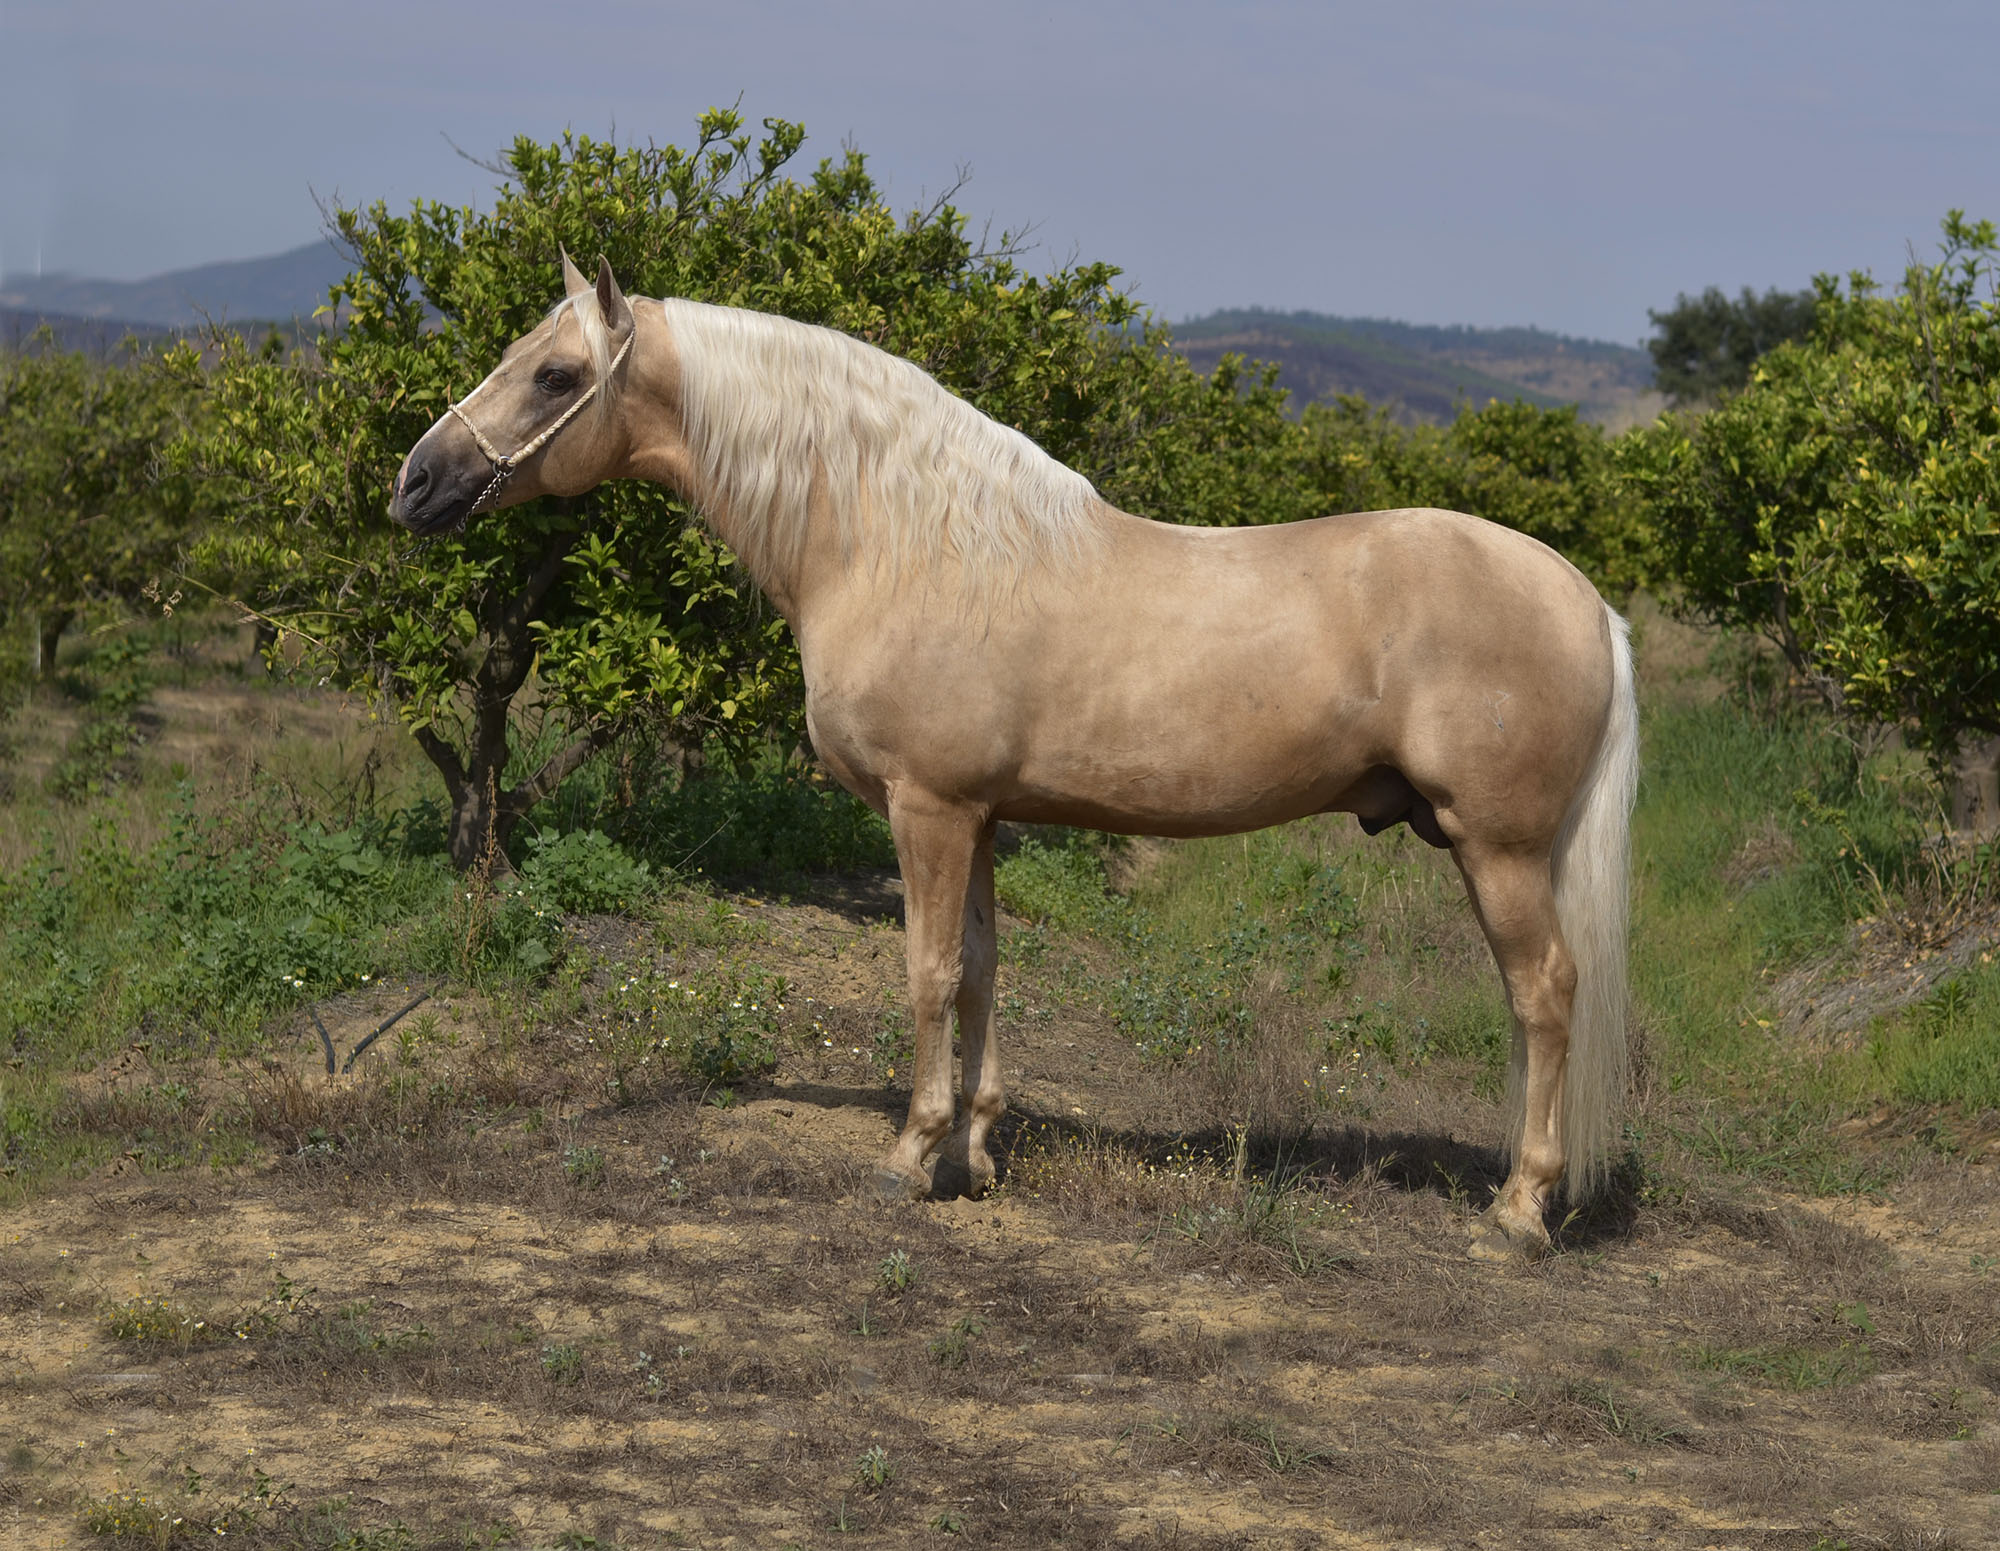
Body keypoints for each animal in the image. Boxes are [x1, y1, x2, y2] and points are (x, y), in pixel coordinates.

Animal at [394, 254, 1640, 1263]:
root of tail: (1582, 599)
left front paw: (910, 1155)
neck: (901, 544)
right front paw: (974, 1156)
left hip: (1499, 850)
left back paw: (1518, 1211)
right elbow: (986, 970)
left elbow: (928, 972)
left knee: (1544, 995)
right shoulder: (980, 816)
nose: (416, 484)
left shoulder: (927, 810)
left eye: (556, 376)